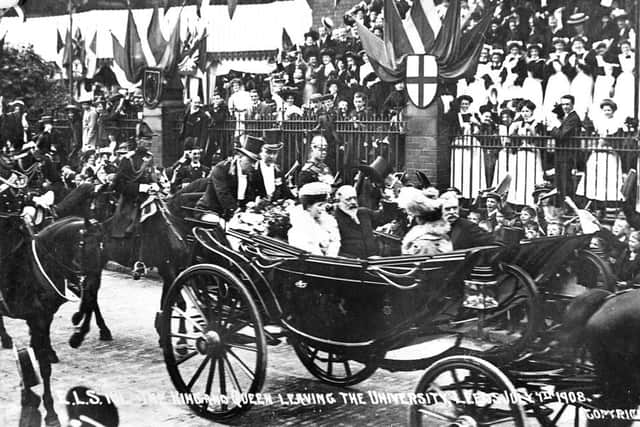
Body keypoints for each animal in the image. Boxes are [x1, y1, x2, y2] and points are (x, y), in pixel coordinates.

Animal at [1, 216, 103, 427]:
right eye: (83, 244)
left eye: (101, 245)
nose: (94, 282)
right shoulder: (37, 321)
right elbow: (44, 366)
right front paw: (50, 411)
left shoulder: (43, 319)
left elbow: (43, 363)